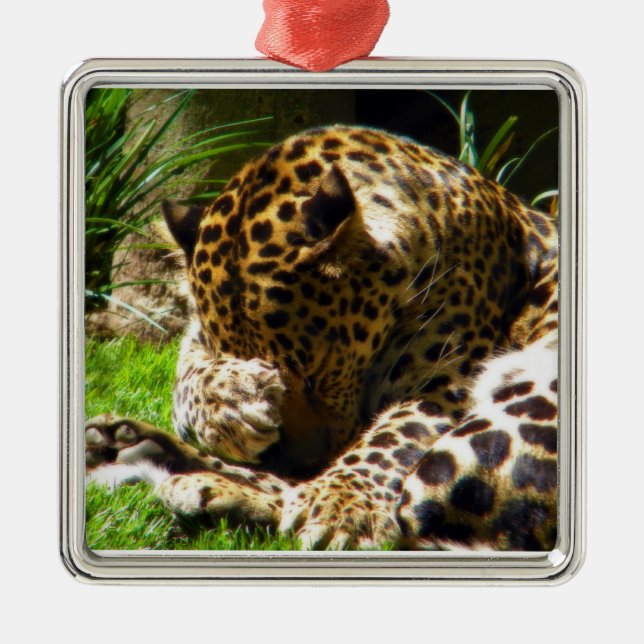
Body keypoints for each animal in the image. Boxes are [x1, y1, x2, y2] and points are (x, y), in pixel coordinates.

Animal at [86, 125, 559, 551]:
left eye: (320, 371)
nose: (300, 462)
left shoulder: (446, 378)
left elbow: (394, 434)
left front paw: (343, 504)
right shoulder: (194, 341)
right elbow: (186, 380)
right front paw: (231, 402)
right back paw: (131, 445)